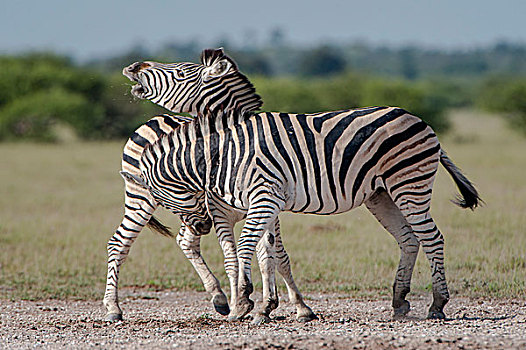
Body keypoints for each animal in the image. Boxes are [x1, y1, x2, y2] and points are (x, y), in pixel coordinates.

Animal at [120, 49, 482, 322]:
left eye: (181, 71)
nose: (133, 66)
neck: (228, 145)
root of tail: (420, 120)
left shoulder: (262, 198)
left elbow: (255, 248)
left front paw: (250, 304)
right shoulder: (259, 203)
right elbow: (263, 251)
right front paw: (264, 306)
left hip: (409, 184)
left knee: (432, 237)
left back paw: (437, 304)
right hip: (381, 195)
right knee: (409, 239)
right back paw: (399, 301)